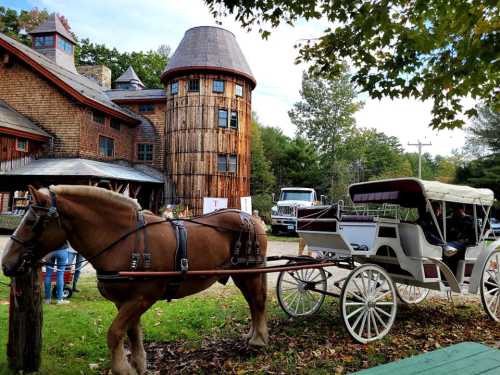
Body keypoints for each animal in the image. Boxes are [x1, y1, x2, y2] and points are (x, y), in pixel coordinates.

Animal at [1, 186, 268, 375]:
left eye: (32, 222)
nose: (7, 263)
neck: (124, 239)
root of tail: (252, 219)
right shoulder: (125, 302)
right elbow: (132, 332)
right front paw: (139, 364)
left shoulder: (142, 298)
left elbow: (114, 333)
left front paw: (122, 368)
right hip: (242, 275)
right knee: (252, 303)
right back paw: (252, 334)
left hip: (250, 273)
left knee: (258, 302)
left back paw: (259, 338)